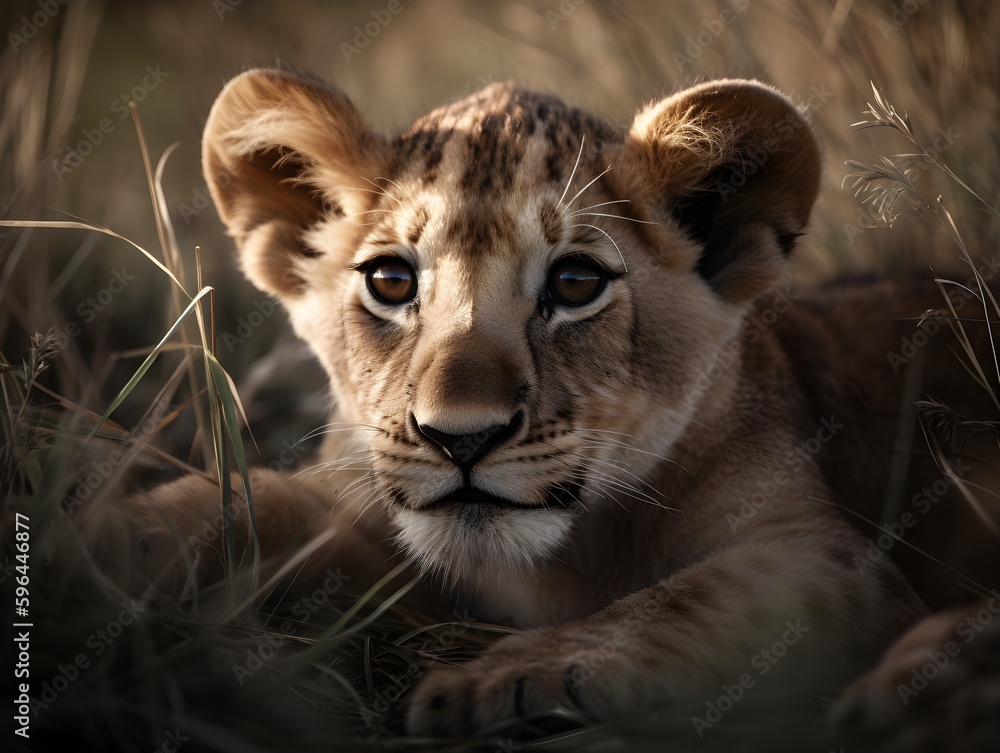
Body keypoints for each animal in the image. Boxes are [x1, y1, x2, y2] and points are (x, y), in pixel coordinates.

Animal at [108, 69, 1000, 745]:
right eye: (391, 281)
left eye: (574, 284)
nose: (460, 439)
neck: (544, 566)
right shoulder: (361, 513)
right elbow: (241, 504)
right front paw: (99, 541)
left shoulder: (828, 560)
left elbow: (675, 599)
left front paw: (495, 680)